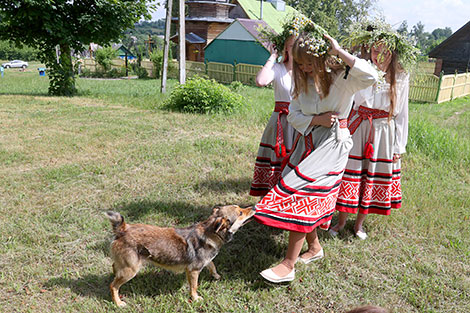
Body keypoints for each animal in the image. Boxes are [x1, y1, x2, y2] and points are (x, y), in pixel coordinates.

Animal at [105, 204, 255, 306]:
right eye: (240, 212)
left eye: (241, 208)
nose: (253, 206)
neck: (212, 233)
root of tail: (123, 229)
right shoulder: (193, 271)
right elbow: (194, 287)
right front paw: (195, 298)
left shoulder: (205, 262)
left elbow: (212, 266)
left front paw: (217, 276)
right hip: (131, 270)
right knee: (113, 286)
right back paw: (118, 303)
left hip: (126, 266)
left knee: (114, 267)